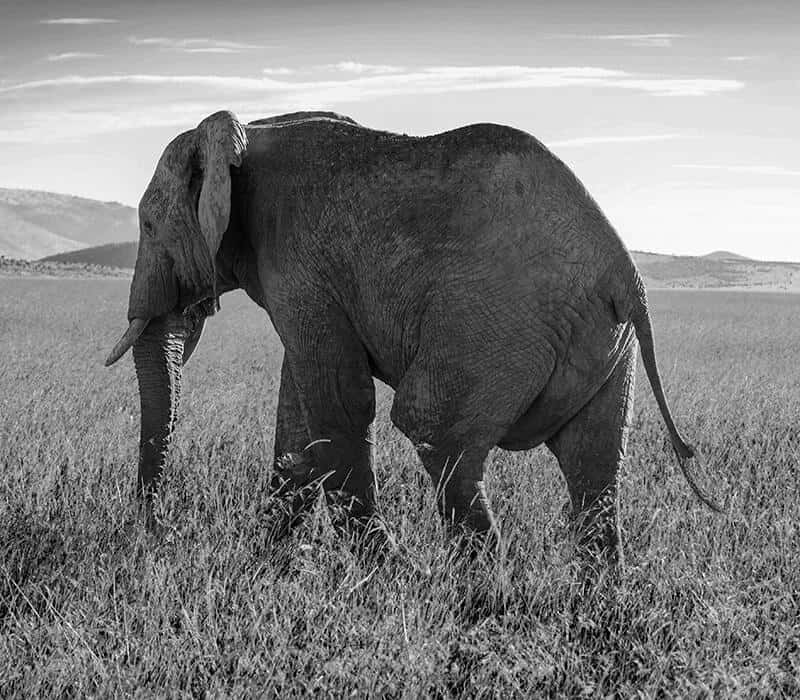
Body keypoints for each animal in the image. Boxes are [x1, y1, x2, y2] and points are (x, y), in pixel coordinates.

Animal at [106, 109, 720, 564]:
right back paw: (596, 596)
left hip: (494, 324)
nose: (163, 531)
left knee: (433, 426)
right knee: (596, 461)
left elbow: (337, 406)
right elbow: (299, 418)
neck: (247, 131)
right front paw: (265, 562)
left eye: (147, 226)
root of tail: (625, 272)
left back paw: (479, 589)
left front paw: (380, 570)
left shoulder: (299, 266)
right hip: (602, 340)